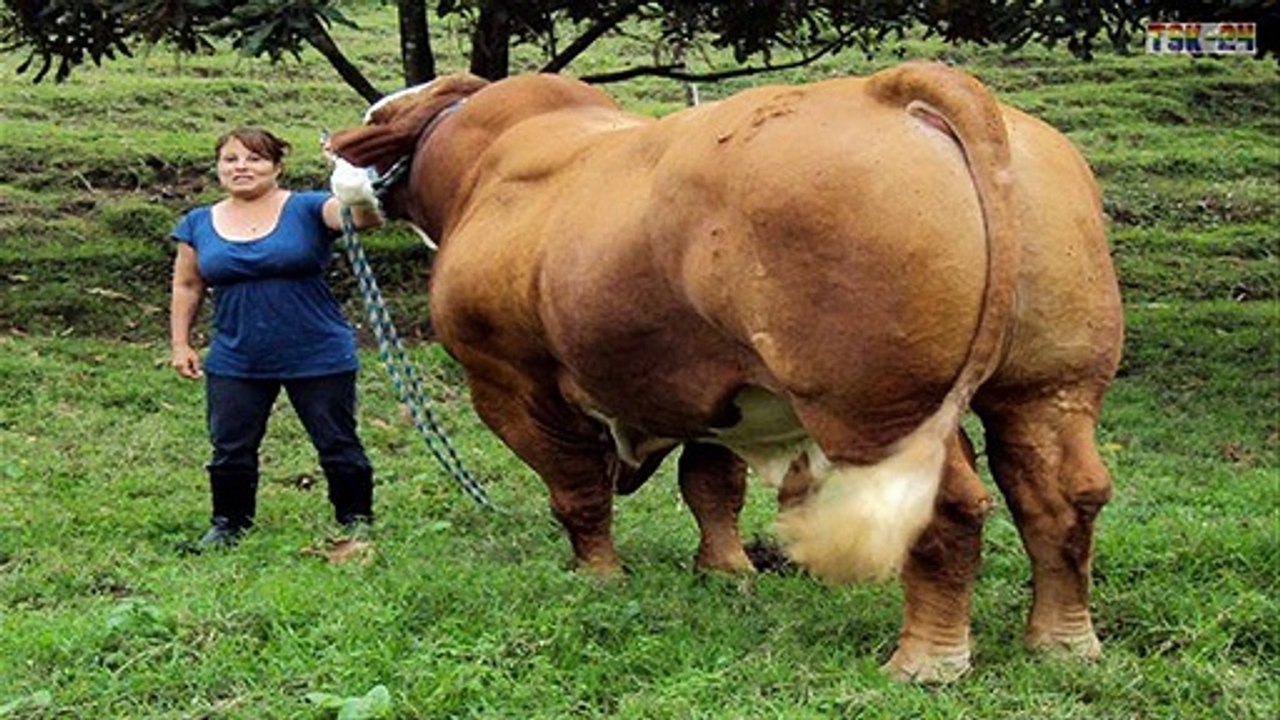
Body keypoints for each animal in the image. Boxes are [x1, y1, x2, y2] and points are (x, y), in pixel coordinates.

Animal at [327, 62, 1124, 682]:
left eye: (374, 115)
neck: (479, 166)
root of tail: (894, 89)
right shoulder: (707, 386)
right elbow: (711, 486)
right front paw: (725, 570)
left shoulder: (510, 383)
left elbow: (577, 491)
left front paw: (599, 574)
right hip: (1050, 386)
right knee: (1062, 495)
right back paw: (1062, 642)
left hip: (878, 412)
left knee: (946, 509)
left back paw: (927, 661)